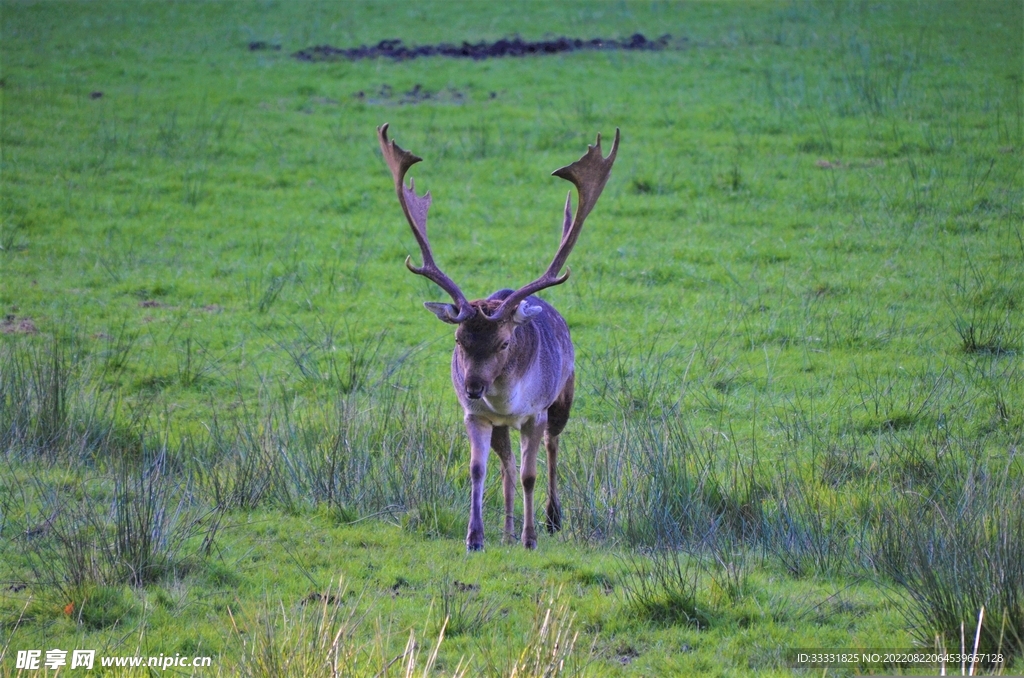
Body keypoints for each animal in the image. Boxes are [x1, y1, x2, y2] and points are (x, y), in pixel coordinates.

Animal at [377, 123, 619, 551]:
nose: (473, 386)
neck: (507, 400)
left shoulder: (535, 412)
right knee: (506, 464)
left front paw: (530, 538)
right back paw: (505, 529)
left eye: (505, 343)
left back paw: (552, 519)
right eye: (458, 340)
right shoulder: (475, 416)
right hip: (502, 425)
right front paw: (475, 537)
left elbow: (530, 475)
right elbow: (479, 469)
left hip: (564, 396)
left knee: (553, 447)